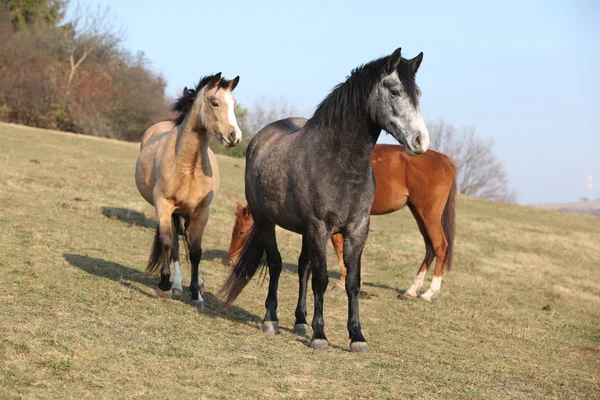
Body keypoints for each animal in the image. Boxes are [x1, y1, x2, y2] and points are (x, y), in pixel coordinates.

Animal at [135, 72, 240, 310]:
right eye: (214, 102)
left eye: (234, 105)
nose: (234, 136)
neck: (188, 165)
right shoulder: (164, 205)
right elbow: (167, 242)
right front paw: (165, 286)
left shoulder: (201, 212)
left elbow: (196, 251)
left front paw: (196, 295)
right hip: (173, 213)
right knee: (174, 242)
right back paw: (175, 284)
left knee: (187, 241)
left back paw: (197, 284)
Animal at [218, 48, 428, 352]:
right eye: (395, 90)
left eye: (418, 93)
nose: (421, 141)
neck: (338, 162)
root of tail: (261, 137)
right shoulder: (319, 227)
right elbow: (321, 280)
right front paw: (320, 336)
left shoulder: (357, 230)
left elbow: (351, 281)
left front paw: (357, 337)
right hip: (266, 220)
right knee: (277, 263)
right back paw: (271, 319)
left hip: (305, 231)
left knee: (302, 267)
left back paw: (300, 322)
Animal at [227, 144, 458, 300]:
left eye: (240, 232)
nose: (229, 260)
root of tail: (445, 160)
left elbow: (338, 247)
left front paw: (342, 282)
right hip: (419, 213)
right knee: (430, 247)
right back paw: (412, 290)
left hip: (428, 214)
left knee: (440, 246)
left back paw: (429, 292)